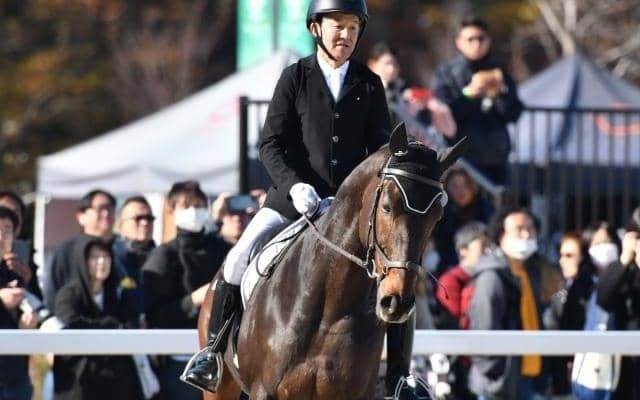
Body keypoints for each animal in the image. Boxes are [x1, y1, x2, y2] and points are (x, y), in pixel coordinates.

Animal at [197, 123, 466, 400]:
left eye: (437, 217)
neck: (330, 308)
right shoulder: (264, 391)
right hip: (221, 385)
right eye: (387, 207)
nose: (397, 301)